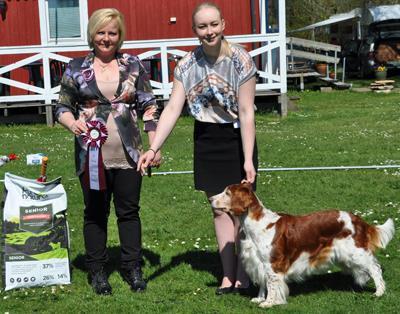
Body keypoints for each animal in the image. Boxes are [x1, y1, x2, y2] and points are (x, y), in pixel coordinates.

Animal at [209, 183, 394, 308]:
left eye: (227, 193)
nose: (210, 198)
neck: (255, 224)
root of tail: (357, 219)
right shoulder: (259, 262)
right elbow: (263, 282)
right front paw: (260, 298)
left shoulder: (273, 263)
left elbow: (271, 284)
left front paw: (269, 303)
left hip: (355, 252)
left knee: (375, 268)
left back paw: (379, 292)